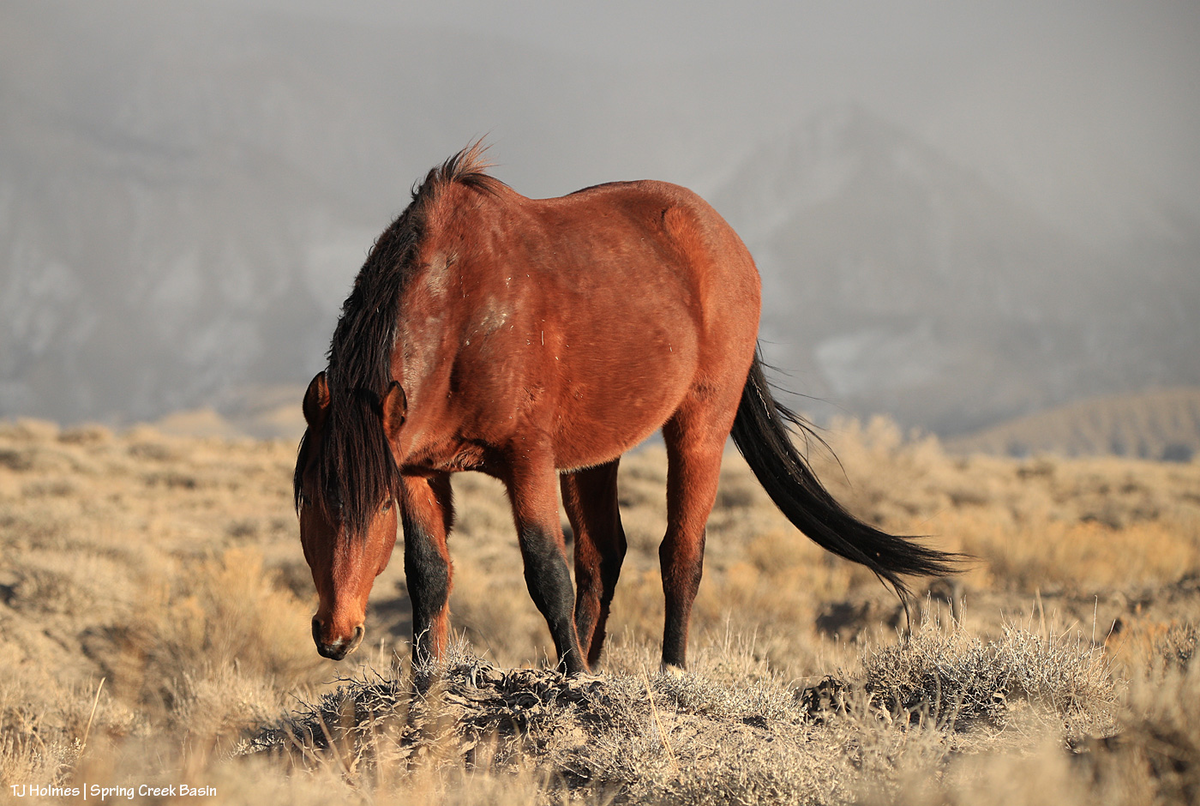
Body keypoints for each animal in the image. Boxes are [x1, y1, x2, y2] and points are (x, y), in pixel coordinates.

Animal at [293, 143, 959, 674]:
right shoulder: (416, 470)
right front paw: (424, 691)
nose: (336, 635)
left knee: (680, 554)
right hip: (593, 455)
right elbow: (430, 577)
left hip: (698, 429)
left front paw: (573, 686)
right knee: (603, 557)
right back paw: (592, 663)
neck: (461, 311)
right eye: (307, 500)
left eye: (374, 504)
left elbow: (545, 573)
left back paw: (670, 672)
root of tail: (723, 238)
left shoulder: (526, 461)